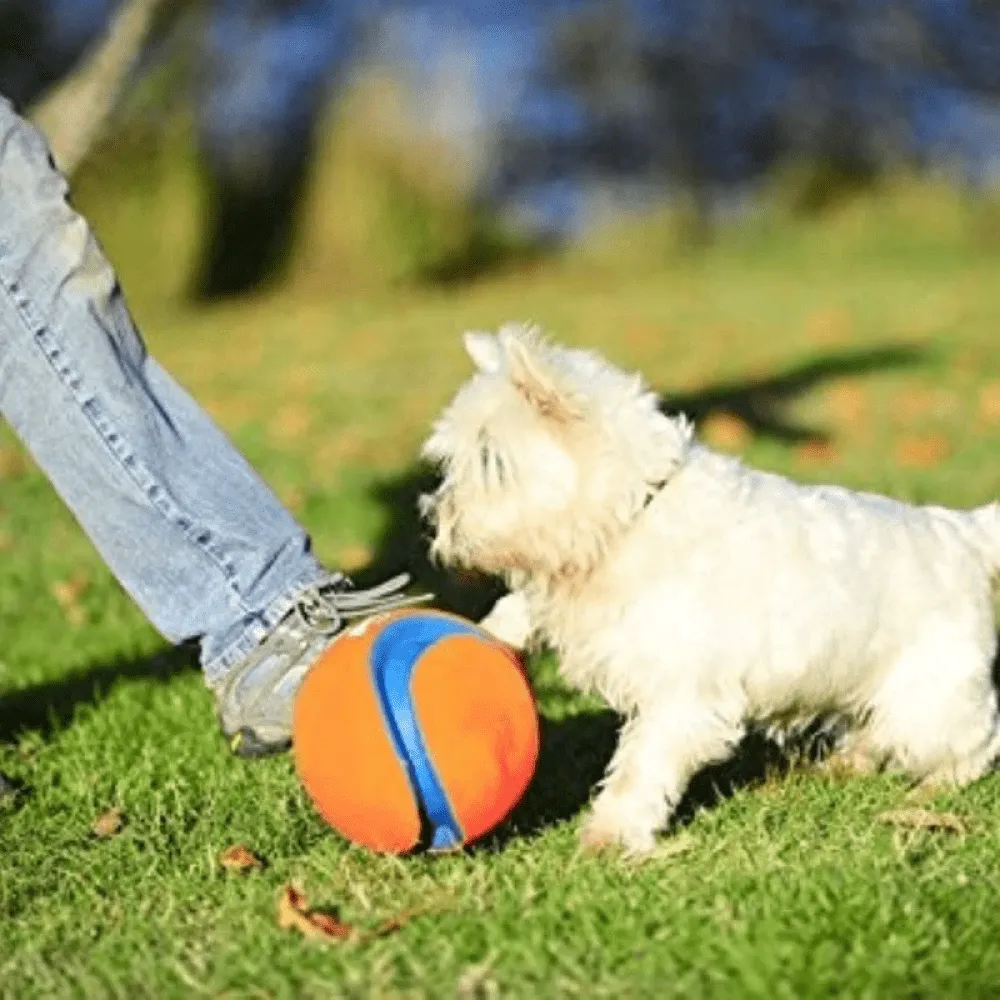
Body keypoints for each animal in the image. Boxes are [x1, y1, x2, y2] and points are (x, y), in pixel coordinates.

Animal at [416, 326, 1000, 852]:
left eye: (490, 460)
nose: (435, 521)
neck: (632, 518)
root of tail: (962, 532)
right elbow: (523, 605)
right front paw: (489, 632)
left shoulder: (680, 696)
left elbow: (641, 768)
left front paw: (610, 835)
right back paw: (844, 764)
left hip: (928, 697)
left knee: (974, 739)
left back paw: (933, 787)